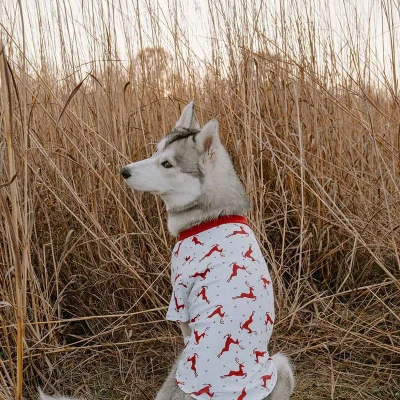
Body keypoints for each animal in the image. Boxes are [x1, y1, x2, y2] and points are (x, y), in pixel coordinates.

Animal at [39, 101, 294, 398]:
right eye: (156, 151)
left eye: (167, 164)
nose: (124, 171)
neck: (212, 216)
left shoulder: (180, 299)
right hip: (281, 365)